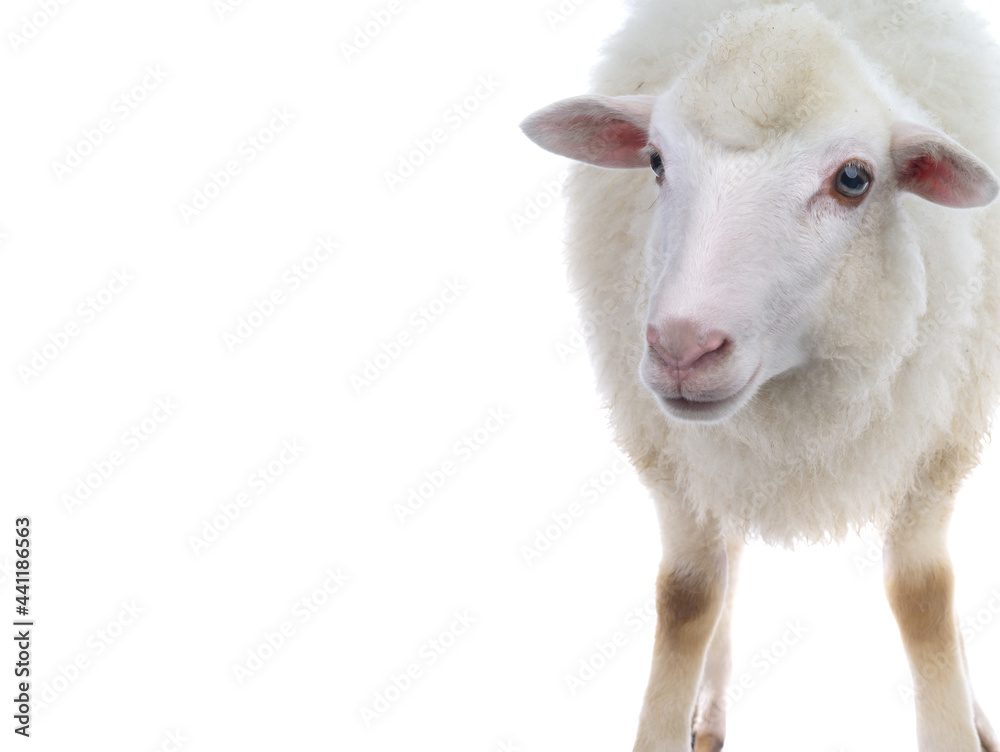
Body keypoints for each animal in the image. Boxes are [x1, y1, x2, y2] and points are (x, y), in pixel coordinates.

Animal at [520, 1, 1000, 750]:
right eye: (655, 160)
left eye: (854, 179)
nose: (683, 347)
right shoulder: (668, 453)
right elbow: (688, 594)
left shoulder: (937, 442)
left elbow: (925, 596)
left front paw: (954, 720)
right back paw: (709, 711)